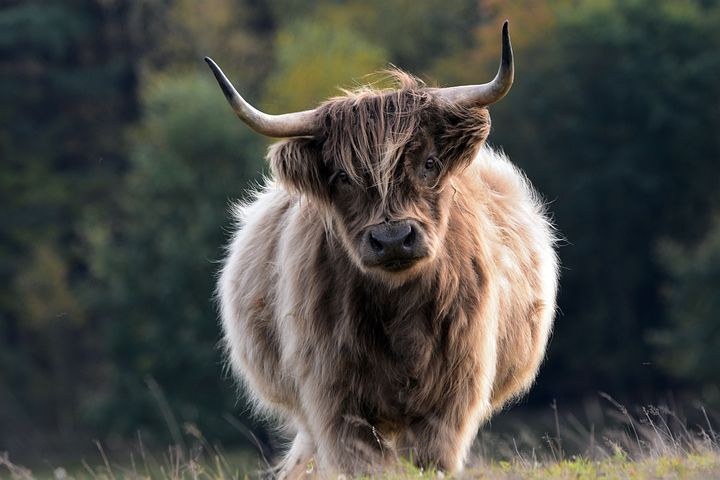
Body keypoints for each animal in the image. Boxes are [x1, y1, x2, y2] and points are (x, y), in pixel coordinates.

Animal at [207, 21, 556, 476]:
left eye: (430, 163)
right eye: (342, 177)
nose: (392, 239)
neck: (399, 313)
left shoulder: (450, 403)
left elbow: (430, 460)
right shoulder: (334, 402)